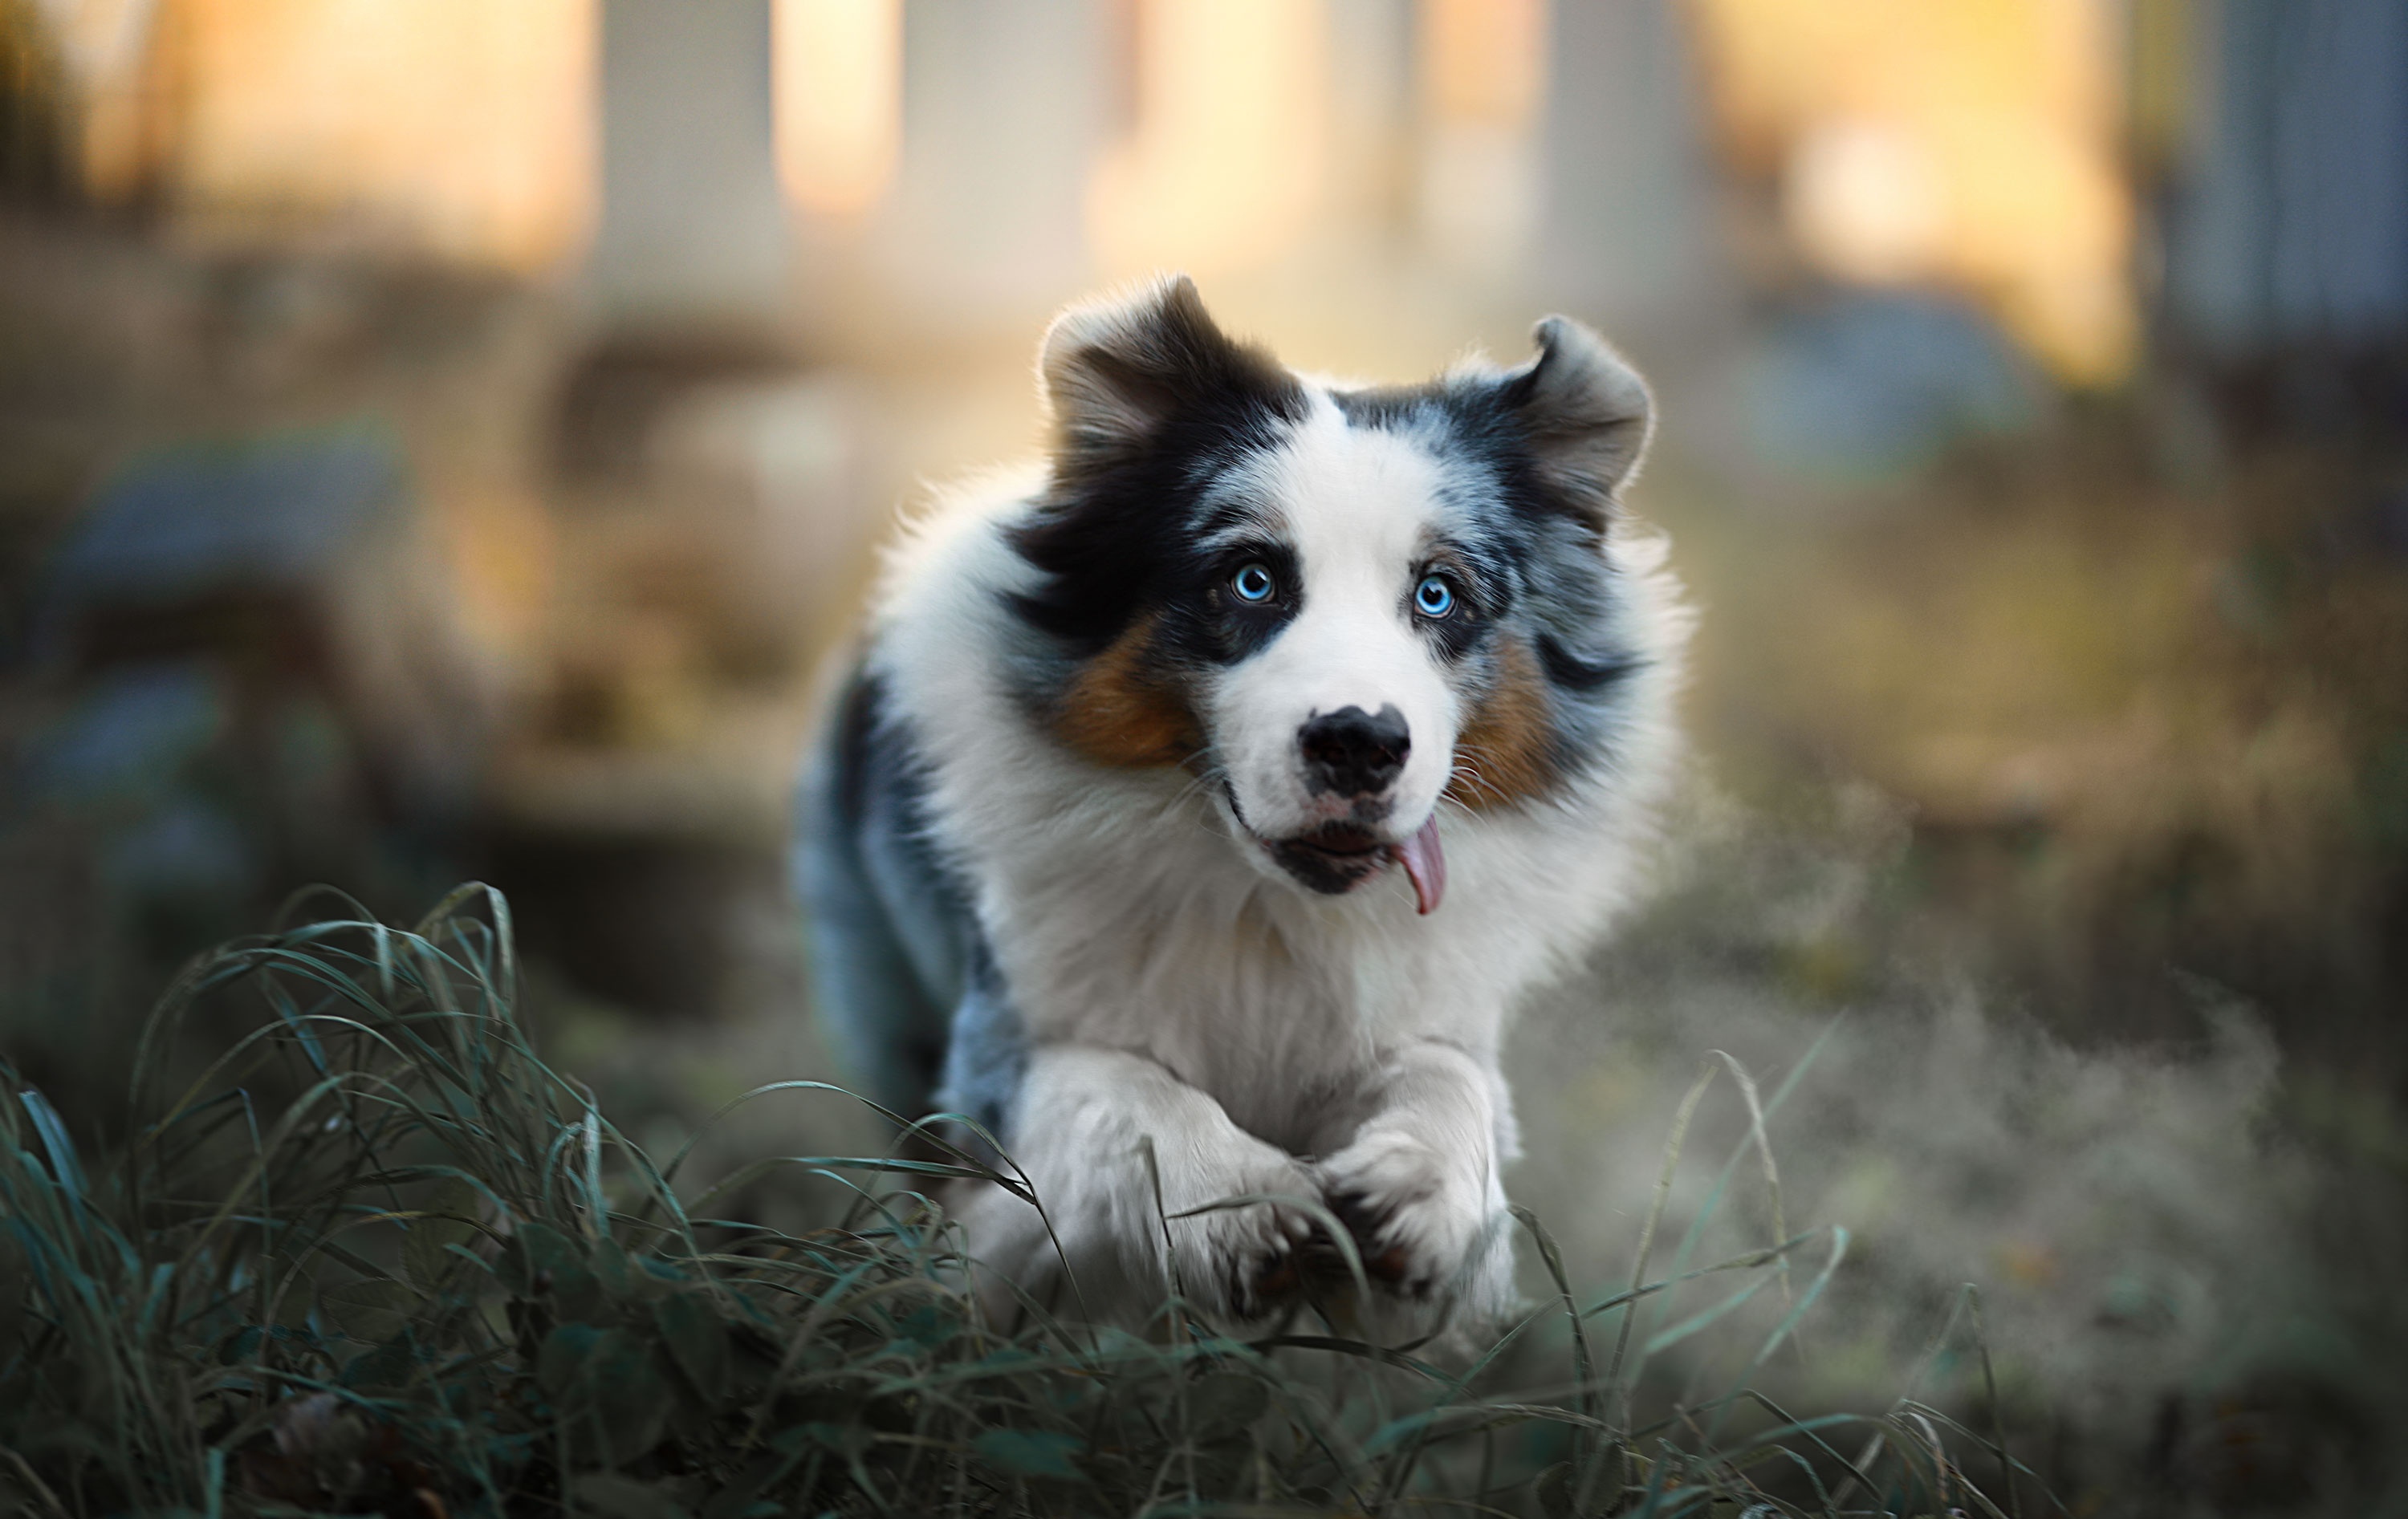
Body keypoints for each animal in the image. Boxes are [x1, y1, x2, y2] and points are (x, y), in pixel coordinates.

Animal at [799, 279, 1686, 1338]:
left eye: (1439, 595)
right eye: (1252, 579)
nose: (1360, 742)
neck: (1269, 906)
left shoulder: (1436, 1009)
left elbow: (1447, 1075)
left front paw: (1416, 1192)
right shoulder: (1001, 1044)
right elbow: (1117, 1085)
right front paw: (1241, 1203)